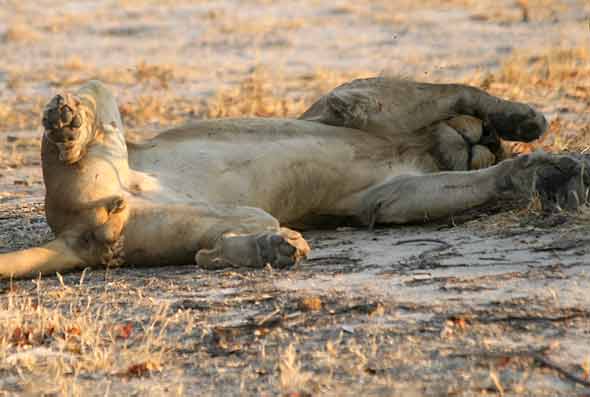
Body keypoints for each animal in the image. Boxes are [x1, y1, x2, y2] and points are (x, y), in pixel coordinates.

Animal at [0, 76, 588, 276]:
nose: (482, 143)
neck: (425, 149)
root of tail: (74, 234)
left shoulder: (391, 196)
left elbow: (484, 179)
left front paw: (544, 172)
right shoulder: (360, 98)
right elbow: (461, 90)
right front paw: (526, 123)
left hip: (222, 216)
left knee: (207, 253)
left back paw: (276, 249)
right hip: (104, 104)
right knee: (82, 110)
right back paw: (67, 121)